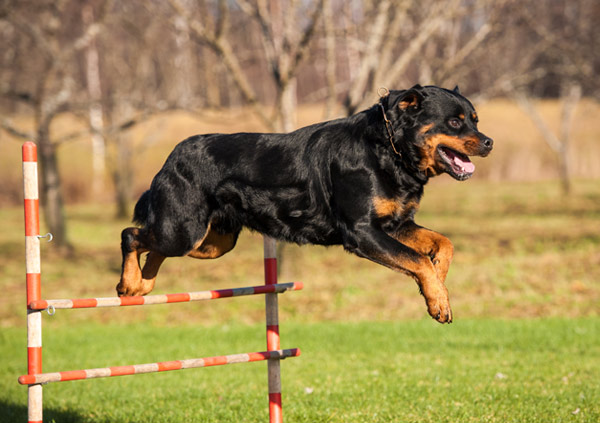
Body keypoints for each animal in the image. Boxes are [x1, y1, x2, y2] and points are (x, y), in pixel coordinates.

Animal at [116, 85, 492, 324]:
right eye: (455, 121)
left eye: (475, 119)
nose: (489, 142)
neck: (388, 149)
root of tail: (171, 157)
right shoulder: (362, 231)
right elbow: (418, 260)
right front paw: (438, 300)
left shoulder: (395, 224)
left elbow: (443, 245)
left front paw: (438, 284)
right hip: (185, 230)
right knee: (132, 234)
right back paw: (129, 283)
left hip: (213, 242)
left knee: (152, 245)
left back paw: (143, 285)